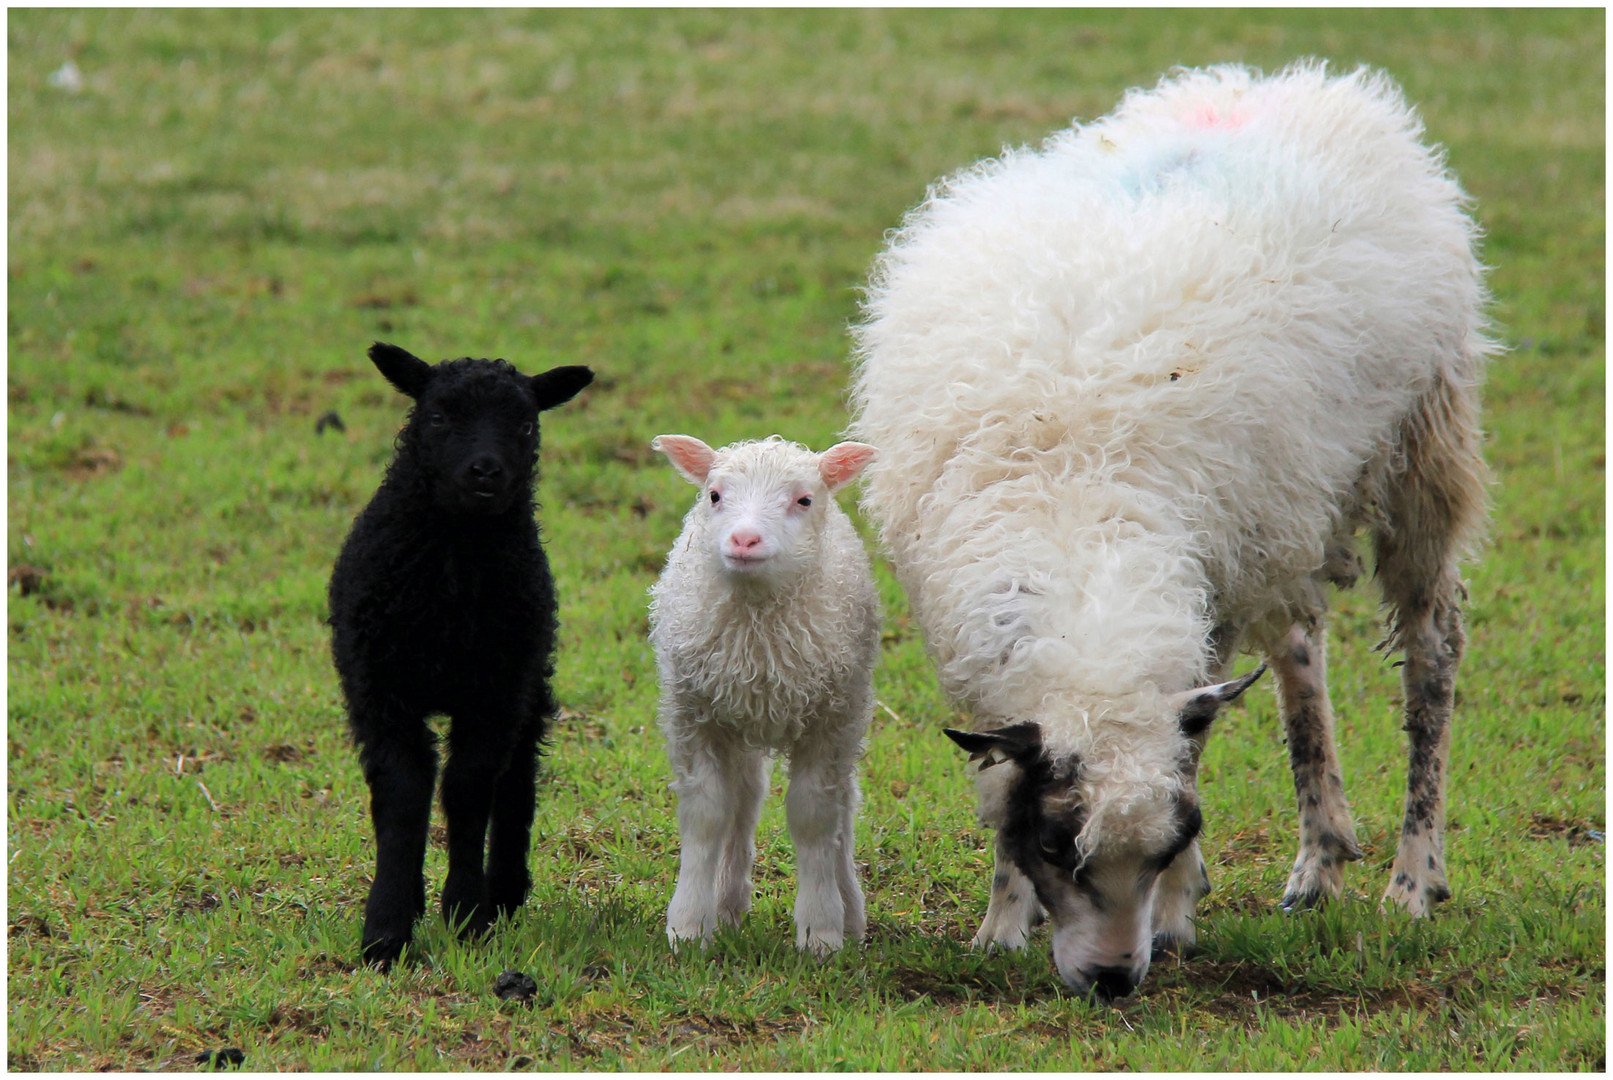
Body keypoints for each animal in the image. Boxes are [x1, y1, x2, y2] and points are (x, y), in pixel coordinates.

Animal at [325, 343, 593, 967]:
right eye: (439, 417)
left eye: (525, 424)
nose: (486, 471)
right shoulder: (381, 691)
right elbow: (403, 792)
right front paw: (387, 930)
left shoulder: (495, 691)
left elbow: (468, 788)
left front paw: (468, 914)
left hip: (527, 680)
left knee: (517, 778)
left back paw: (506, 890)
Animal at [645, 435, 883, 960]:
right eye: (714, 495)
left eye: (804, 500)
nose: (744, 541)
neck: (758, 632)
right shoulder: (693, 714)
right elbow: (707, 814)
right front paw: (688, 926)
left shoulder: (829, 720)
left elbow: (814, 816)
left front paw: (821, 931)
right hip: (737, 721)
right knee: (745, 799)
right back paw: (729, 904)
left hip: (848, 712)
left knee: (843, 807)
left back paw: (850, 911)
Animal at [851, 63, 1490, 1005]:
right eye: (1057, 847)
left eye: (1170, 841)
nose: (1114, 981)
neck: (1075, 504)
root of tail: (1312, 86)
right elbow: (1003, 780)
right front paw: (1000, 925)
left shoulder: (1204, 600)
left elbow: (1194, 740)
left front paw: (1178, 910)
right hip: (1279, 509)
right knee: (1300, 647)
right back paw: (1319, 859)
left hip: (1420, 448)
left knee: (1432, 654)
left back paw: (1410, 882)